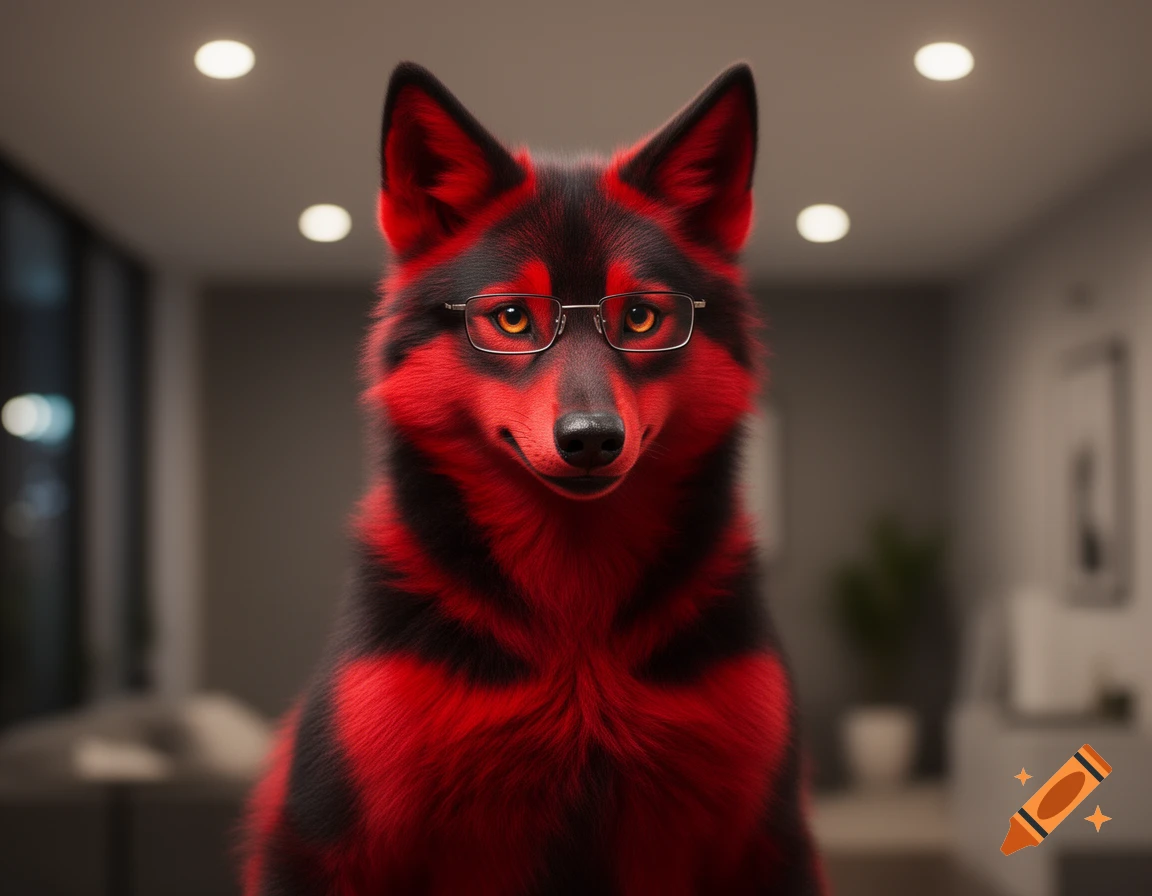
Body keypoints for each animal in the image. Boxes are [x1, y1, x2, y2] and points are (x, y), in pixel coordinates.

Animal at [242, 61, 825, 895]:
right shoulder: (318, 841)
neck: (574, 634)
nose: (591, 440)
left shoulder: (767, 840)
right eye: (514, 318)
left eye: (641, 318)